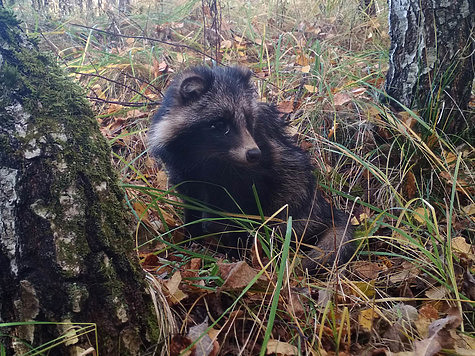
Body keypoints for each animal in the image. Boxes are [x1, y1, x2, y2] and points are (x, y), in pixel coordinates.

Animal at [151, 67, 356, 270]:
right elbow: (191, 203)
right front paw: (191, 236)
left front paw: (236, 251)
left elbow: (244, 209)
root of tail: (323, 207)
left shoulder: (254, 173)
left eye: (249, 121)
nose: (254, 154)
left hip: (293, 186)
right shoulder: (184, 170)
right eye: (220, 124)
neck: (210, 156)